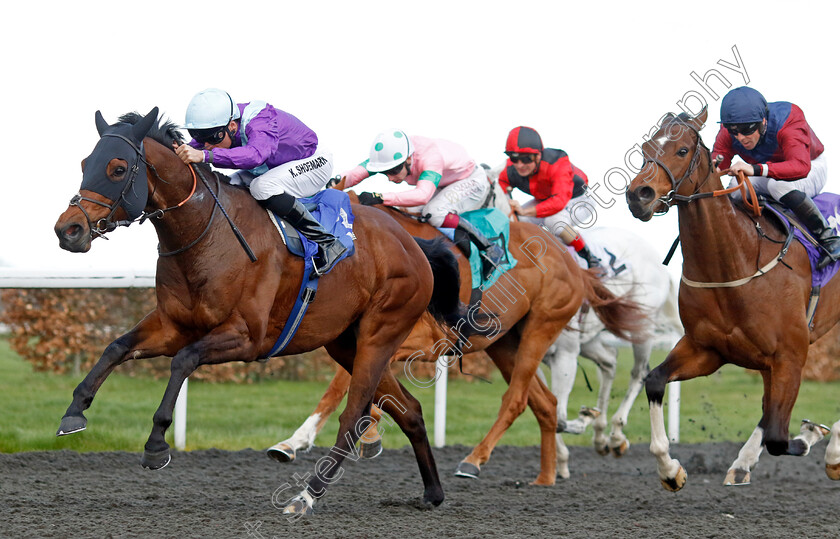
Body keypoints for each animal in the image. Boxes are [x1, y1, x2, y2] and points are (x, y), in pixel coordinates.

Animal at [624, 107, 840, 492]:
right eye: (646, 148)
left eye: (682, 150)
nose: (639, 195)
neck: (734, 261)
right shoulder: (707, 349)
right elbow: (654, 380)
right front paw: (670, 469)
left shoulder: (790, 355)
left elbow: (780, 437)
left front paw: (816, 435)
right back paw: (741, 464)